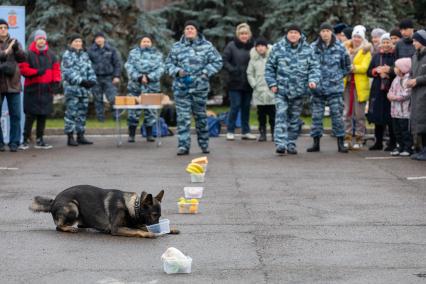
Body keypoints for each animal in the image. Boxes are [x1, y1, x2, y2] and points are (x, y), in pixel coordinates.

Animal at [29, 185, 180, 239]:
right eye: (154, 215)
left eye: (159, 216)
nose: (159, 229)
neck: (132, 206)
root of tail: (54, 201)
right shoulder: (117, 228)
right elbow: (138, 230)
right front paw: (148, 233)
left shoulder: (134, 223)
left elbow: (141, 226)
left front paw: (170, 229)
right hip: (73, 207)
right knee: (58, 226)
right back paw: (69, 228)